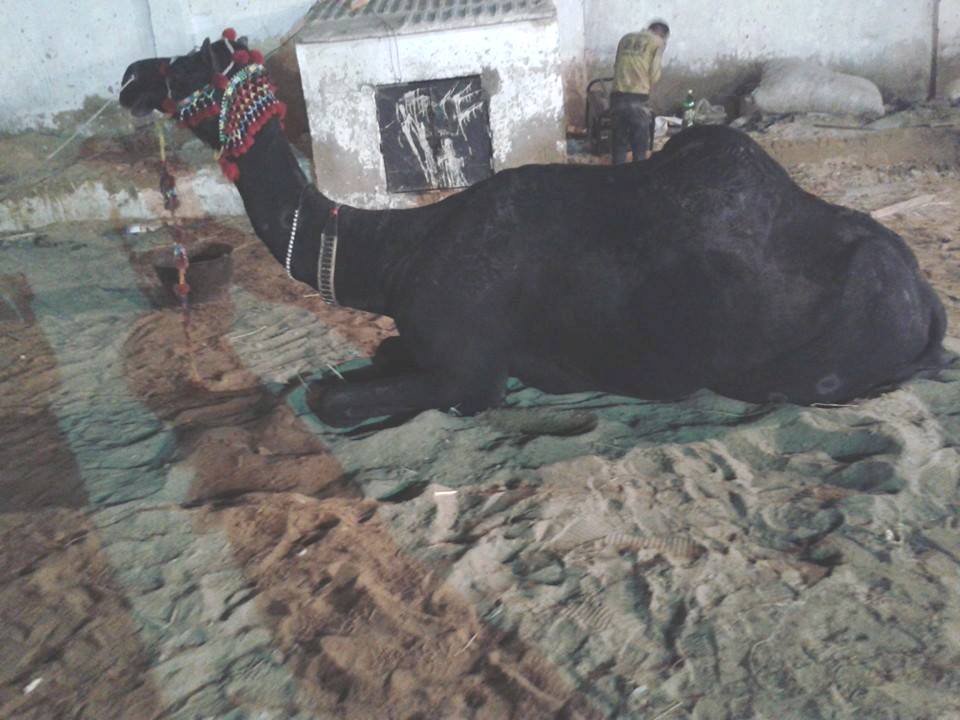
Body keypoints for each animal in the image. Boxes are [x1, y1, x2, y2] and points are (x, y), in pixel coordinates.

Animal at [120, 30, 946, 427]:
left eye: (193, 65)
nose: (130, 75)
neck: (397, 257)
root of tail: (925, 293)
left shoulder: (470, 372)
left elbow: (332, 398)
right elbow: (342, 370)